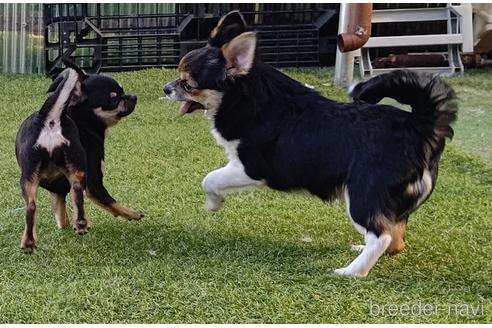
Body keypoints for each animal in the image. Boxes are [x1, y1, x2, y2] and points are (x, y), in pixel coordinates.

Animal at [164, 10, 458, 276]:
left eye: (188, 84)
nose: (165, 88)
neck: (248, 97)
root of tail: (417, 124)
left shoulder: (251, 168)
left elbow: (209, 179)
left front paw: (214, 203)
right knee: (395, 237)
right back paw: (361, 251)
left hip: (362, 195)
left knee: (381, 236)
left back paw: (351, 272)